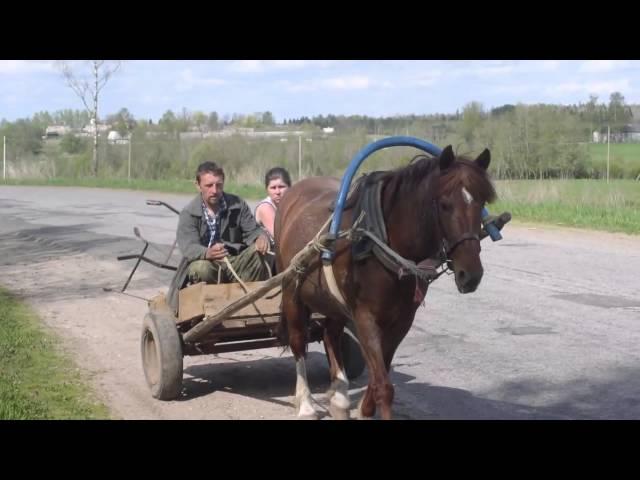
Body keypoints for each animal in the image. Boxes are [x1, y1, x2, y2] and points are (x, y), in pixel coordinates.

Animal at [272, 146, 498, 420]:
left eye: (482, 202)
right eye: (444, 205)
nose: (471, 274)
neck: (381, 241)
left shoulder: (402, 320)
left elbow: (380, 375)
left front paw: (365, 408)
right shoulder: (364, 316)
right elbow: (384, 385)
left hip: (333, 302)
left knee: (330, 334)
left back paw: (339, 397)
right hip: (291, 290)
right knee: (298, 342)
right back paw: (305, 403)